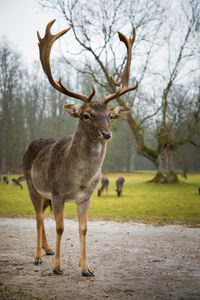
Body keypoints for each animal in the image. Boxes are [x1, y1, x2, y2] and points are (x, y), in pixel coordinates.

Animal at [22, 19, 138, 276]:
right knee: (38, 217)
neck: (80, 179)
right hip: (32, 185)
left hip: (43, 193)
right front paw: (57, 267)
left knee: (42, 216)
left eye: (110, 116)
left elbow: (83, 229)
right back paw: (38, 256)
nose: (106, 134)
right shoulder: (57, 193)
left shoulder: (86, 196)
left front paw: (86, 268)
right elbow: (60, 227)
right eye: (86, 115)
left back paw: (46, 250)